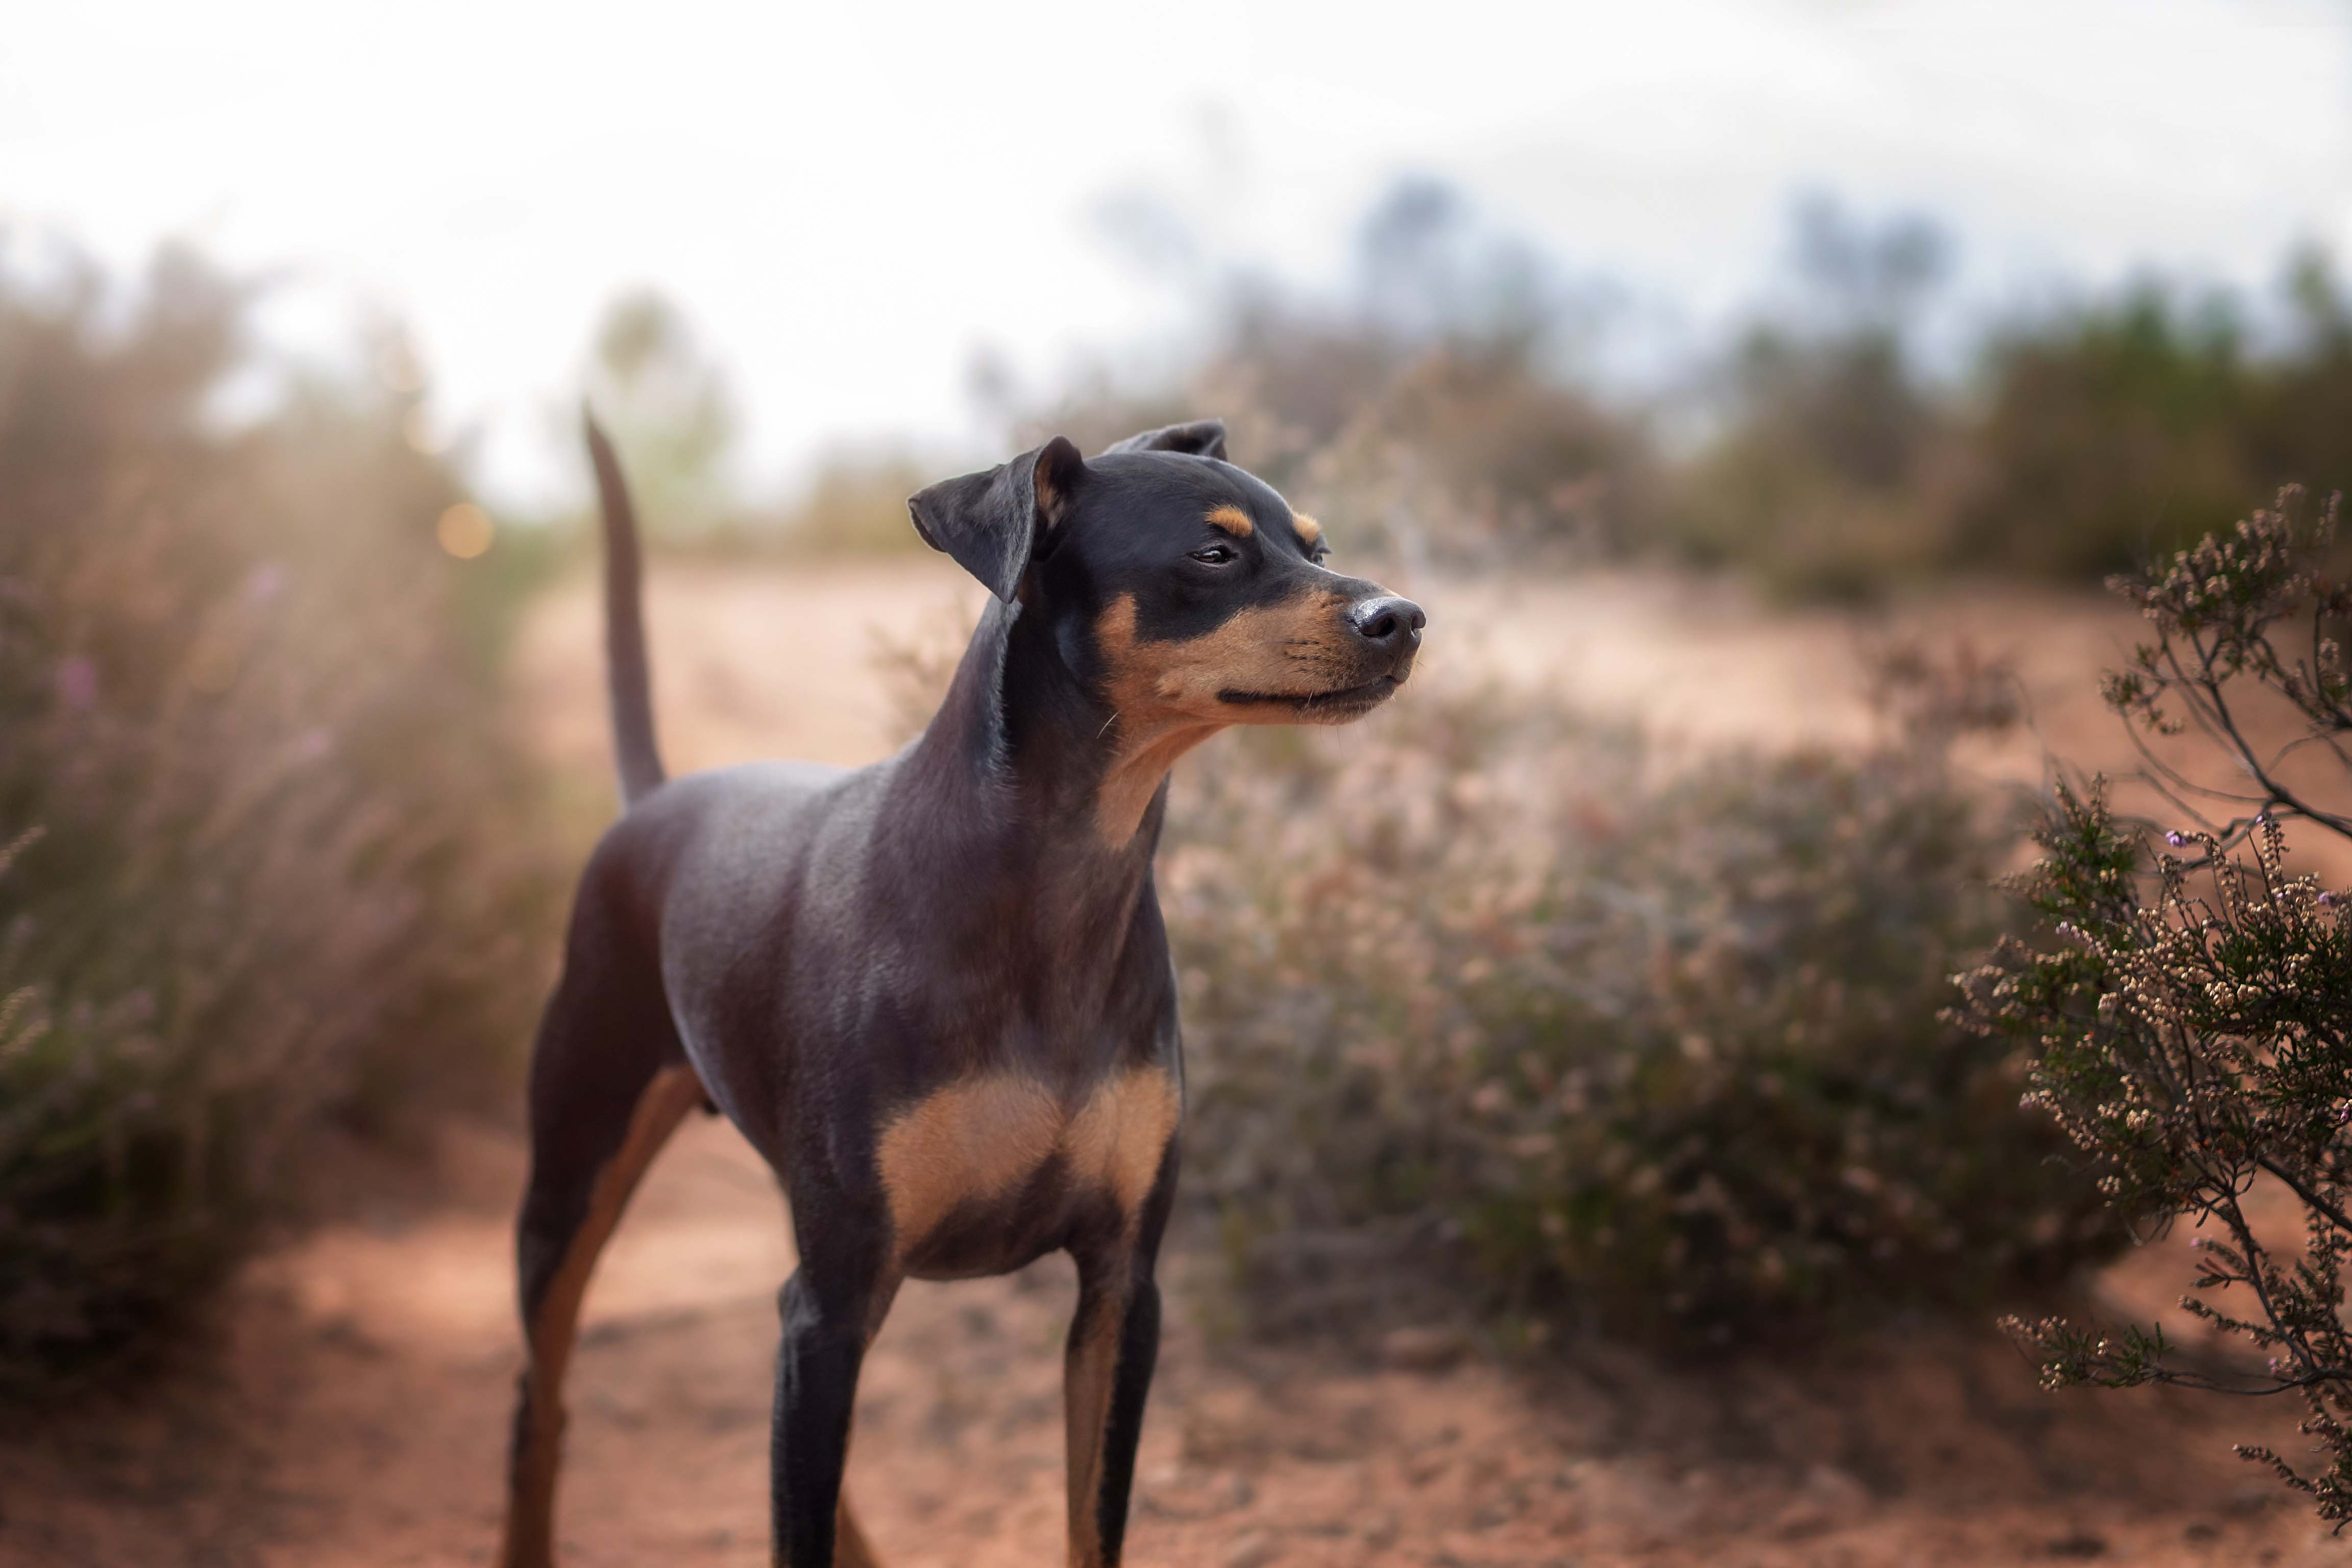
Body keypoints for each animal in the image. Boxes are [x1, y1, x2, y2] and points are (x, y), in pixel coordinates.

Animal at [494, 416, 1411, 1568]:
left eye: (1316, 548)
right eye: (1213, 554)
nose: (1404, 618)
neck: (1052, 884)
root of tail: (654, 802)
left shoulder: (1120, 1289)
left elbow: (1092, 1526)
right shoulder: (838, 1300)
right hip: (573, 1183)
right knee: (541, 1402)